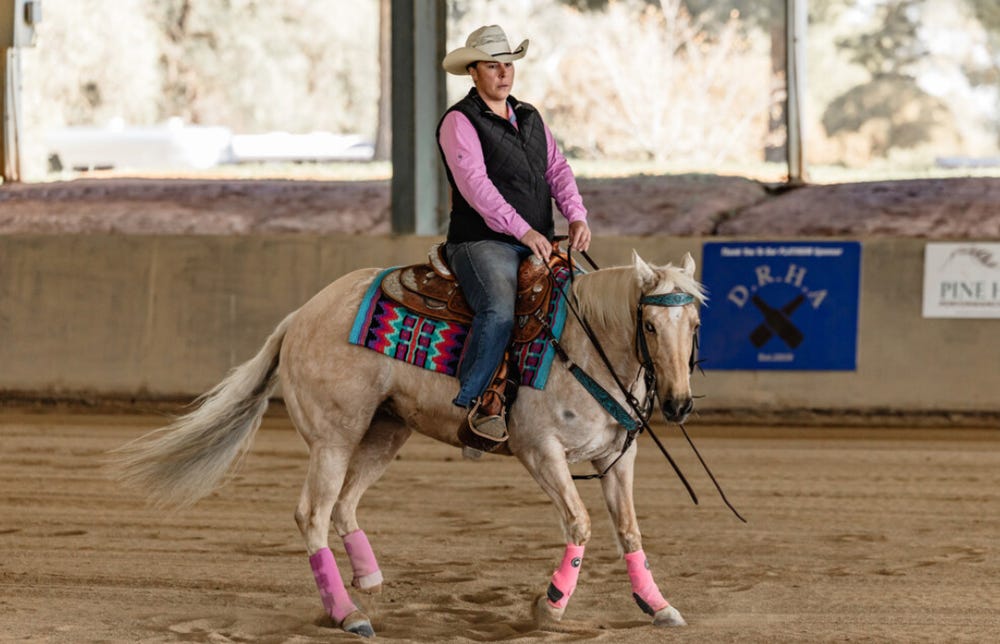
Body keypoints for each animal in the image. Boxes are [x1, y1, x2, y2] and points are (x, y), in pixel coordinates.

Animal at [113, 249, 705, 638]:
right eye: (650, 325)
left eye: (695, 323)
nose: (678, 405)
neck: (582, 347)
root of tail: (299, 317)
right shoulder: (542, 452)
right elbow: (579, 523)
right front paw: (551, 606)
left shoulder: (616, 457)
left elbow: (629, 530)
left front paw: (658, 605)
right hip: (333, 439)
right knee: (314, 514)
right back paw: (348, 614)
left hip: (386, 431)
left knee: (345, 505)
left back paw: (369, 581)